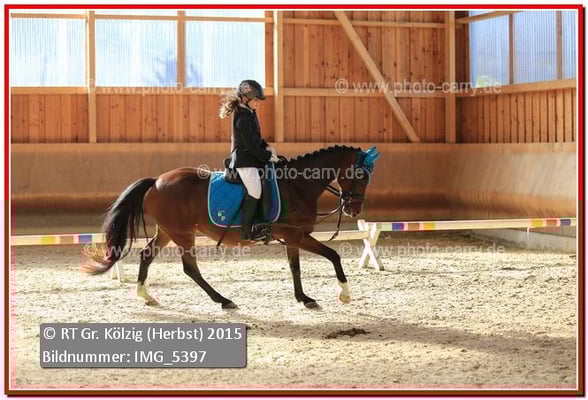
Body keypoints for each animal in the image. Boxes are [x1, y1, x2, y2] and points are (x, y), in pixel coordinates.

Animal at [83, 145, 381, 310]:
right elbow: (333, 255)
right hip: (183, 234)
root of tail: (156, 181)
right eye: (360, 174)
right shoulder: (296, 234)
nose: (354, 209)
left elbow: (295, 267)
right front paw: (344, 294)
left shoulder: (292, 237)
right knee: (190, 268)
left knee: (147, 255)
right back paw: (223, 300)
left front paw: (304, 298)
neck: (298, 185)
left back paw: (146, 296)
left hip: (168, 231)